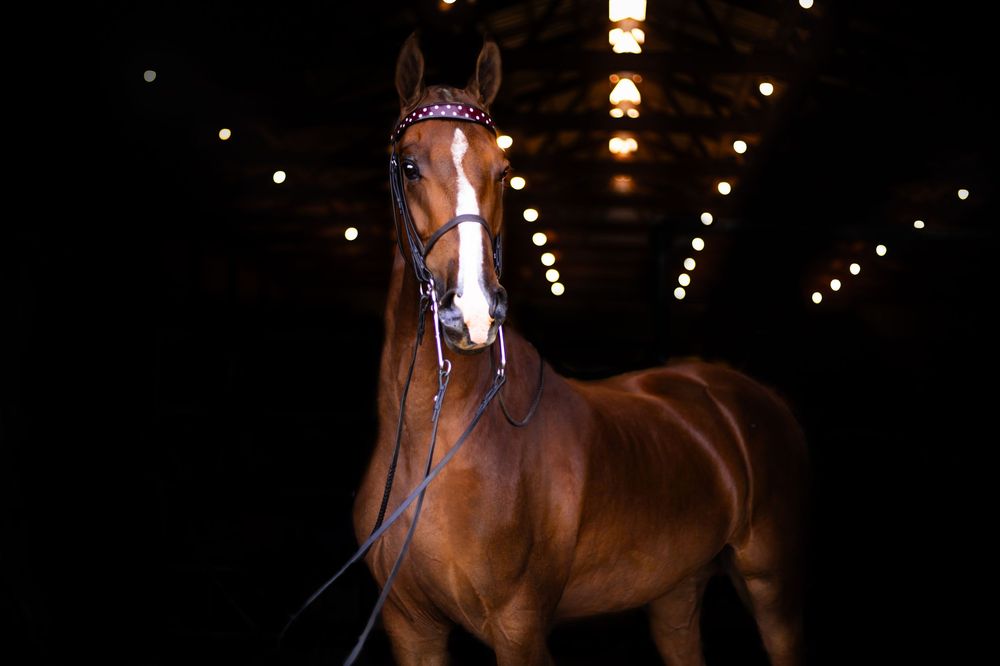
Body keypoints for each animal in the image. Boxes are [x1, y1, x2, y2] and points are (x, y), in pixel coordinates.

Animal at [352, 34, 808, 666]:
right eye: (410, 166)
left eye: (503, 170)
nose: (472, 309)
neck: (440, 440)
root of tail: (754, 394)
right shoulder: (411, 630)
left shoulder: (519, 630)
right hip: (675, 592)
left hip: (771, 585)